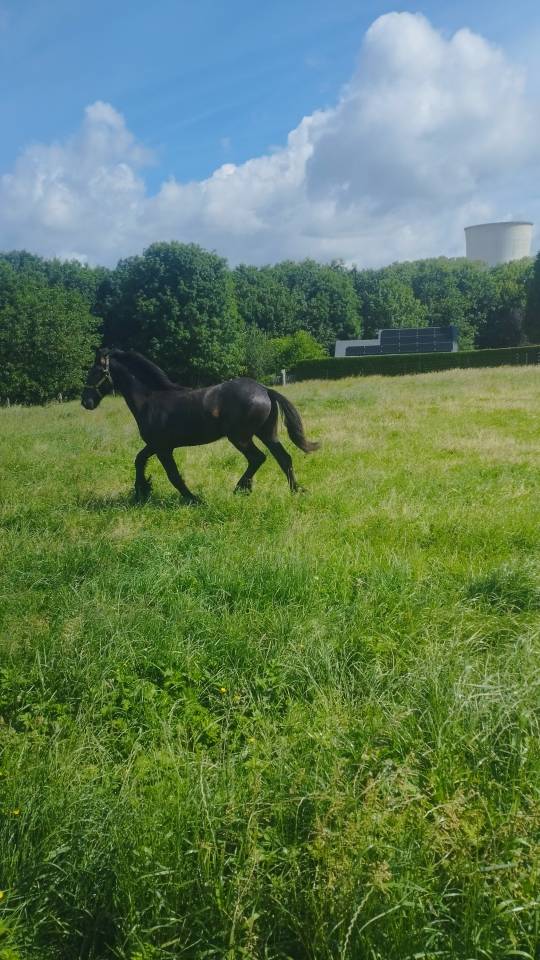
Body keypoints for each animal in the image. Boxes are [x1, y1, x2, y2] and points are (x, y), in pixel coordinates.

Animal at [81, 348, 319, 503]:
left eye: (95, 372)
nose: (86, 402)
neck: (151, 399)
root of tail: (265, 390)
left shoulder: (163, 448)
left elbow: (173, 475)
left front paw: (193, 499)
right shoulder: (155, 445)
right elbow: (139, 460)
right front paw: (141, 491)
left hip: (240, 437)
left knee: (258, 458)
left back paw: (240, 489)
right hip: (267, 434)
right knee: (283, 458)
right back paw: (296, 490)